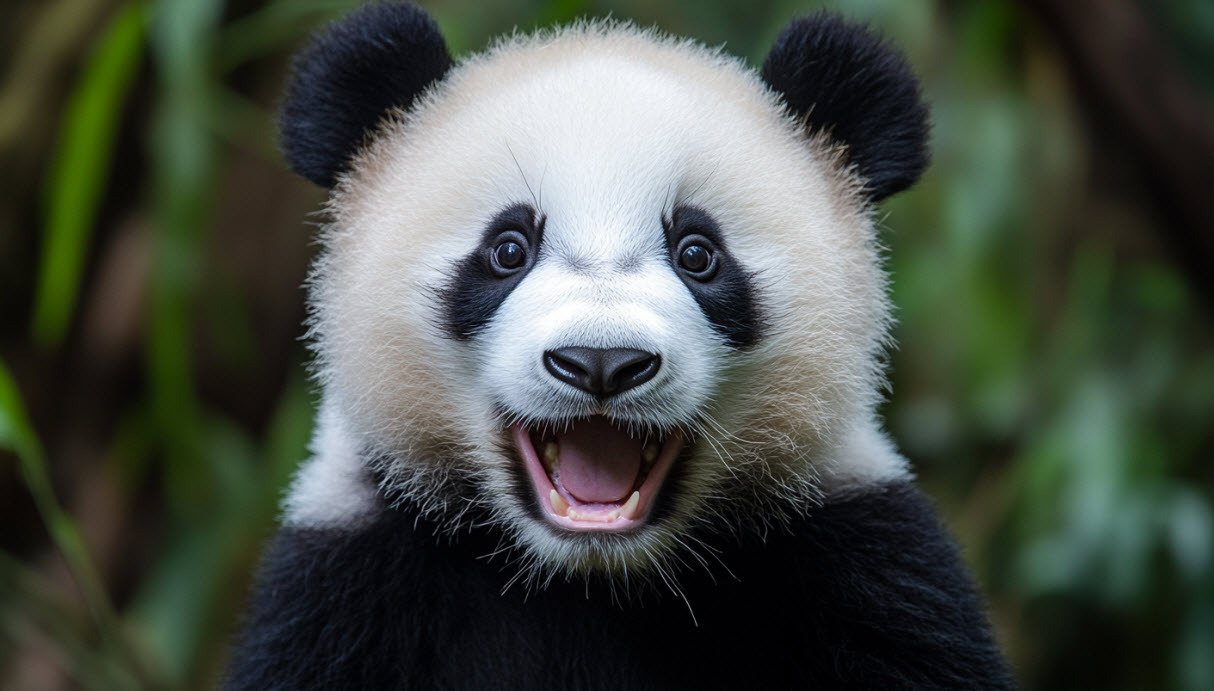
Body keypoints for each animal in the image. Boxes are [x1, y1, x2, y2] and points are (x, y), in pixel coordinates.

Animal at [227, 3, 1014, 689]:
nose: (601, 363)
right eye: (507, 249)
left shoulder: (864, 568)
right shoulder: (350, 586)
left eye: (698, 254)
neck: (591, 579)